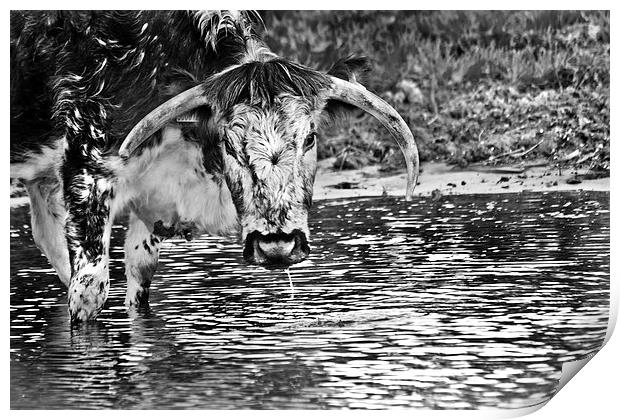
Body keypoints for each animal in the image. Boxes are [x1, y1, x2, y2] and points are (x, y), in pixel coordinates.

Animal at [9, 11, 418, 324]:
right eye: (229, 143)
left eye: (310, 138)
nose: (277, 247)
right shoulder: (87, 173)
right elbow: (89, 291)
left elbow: (140, 280)